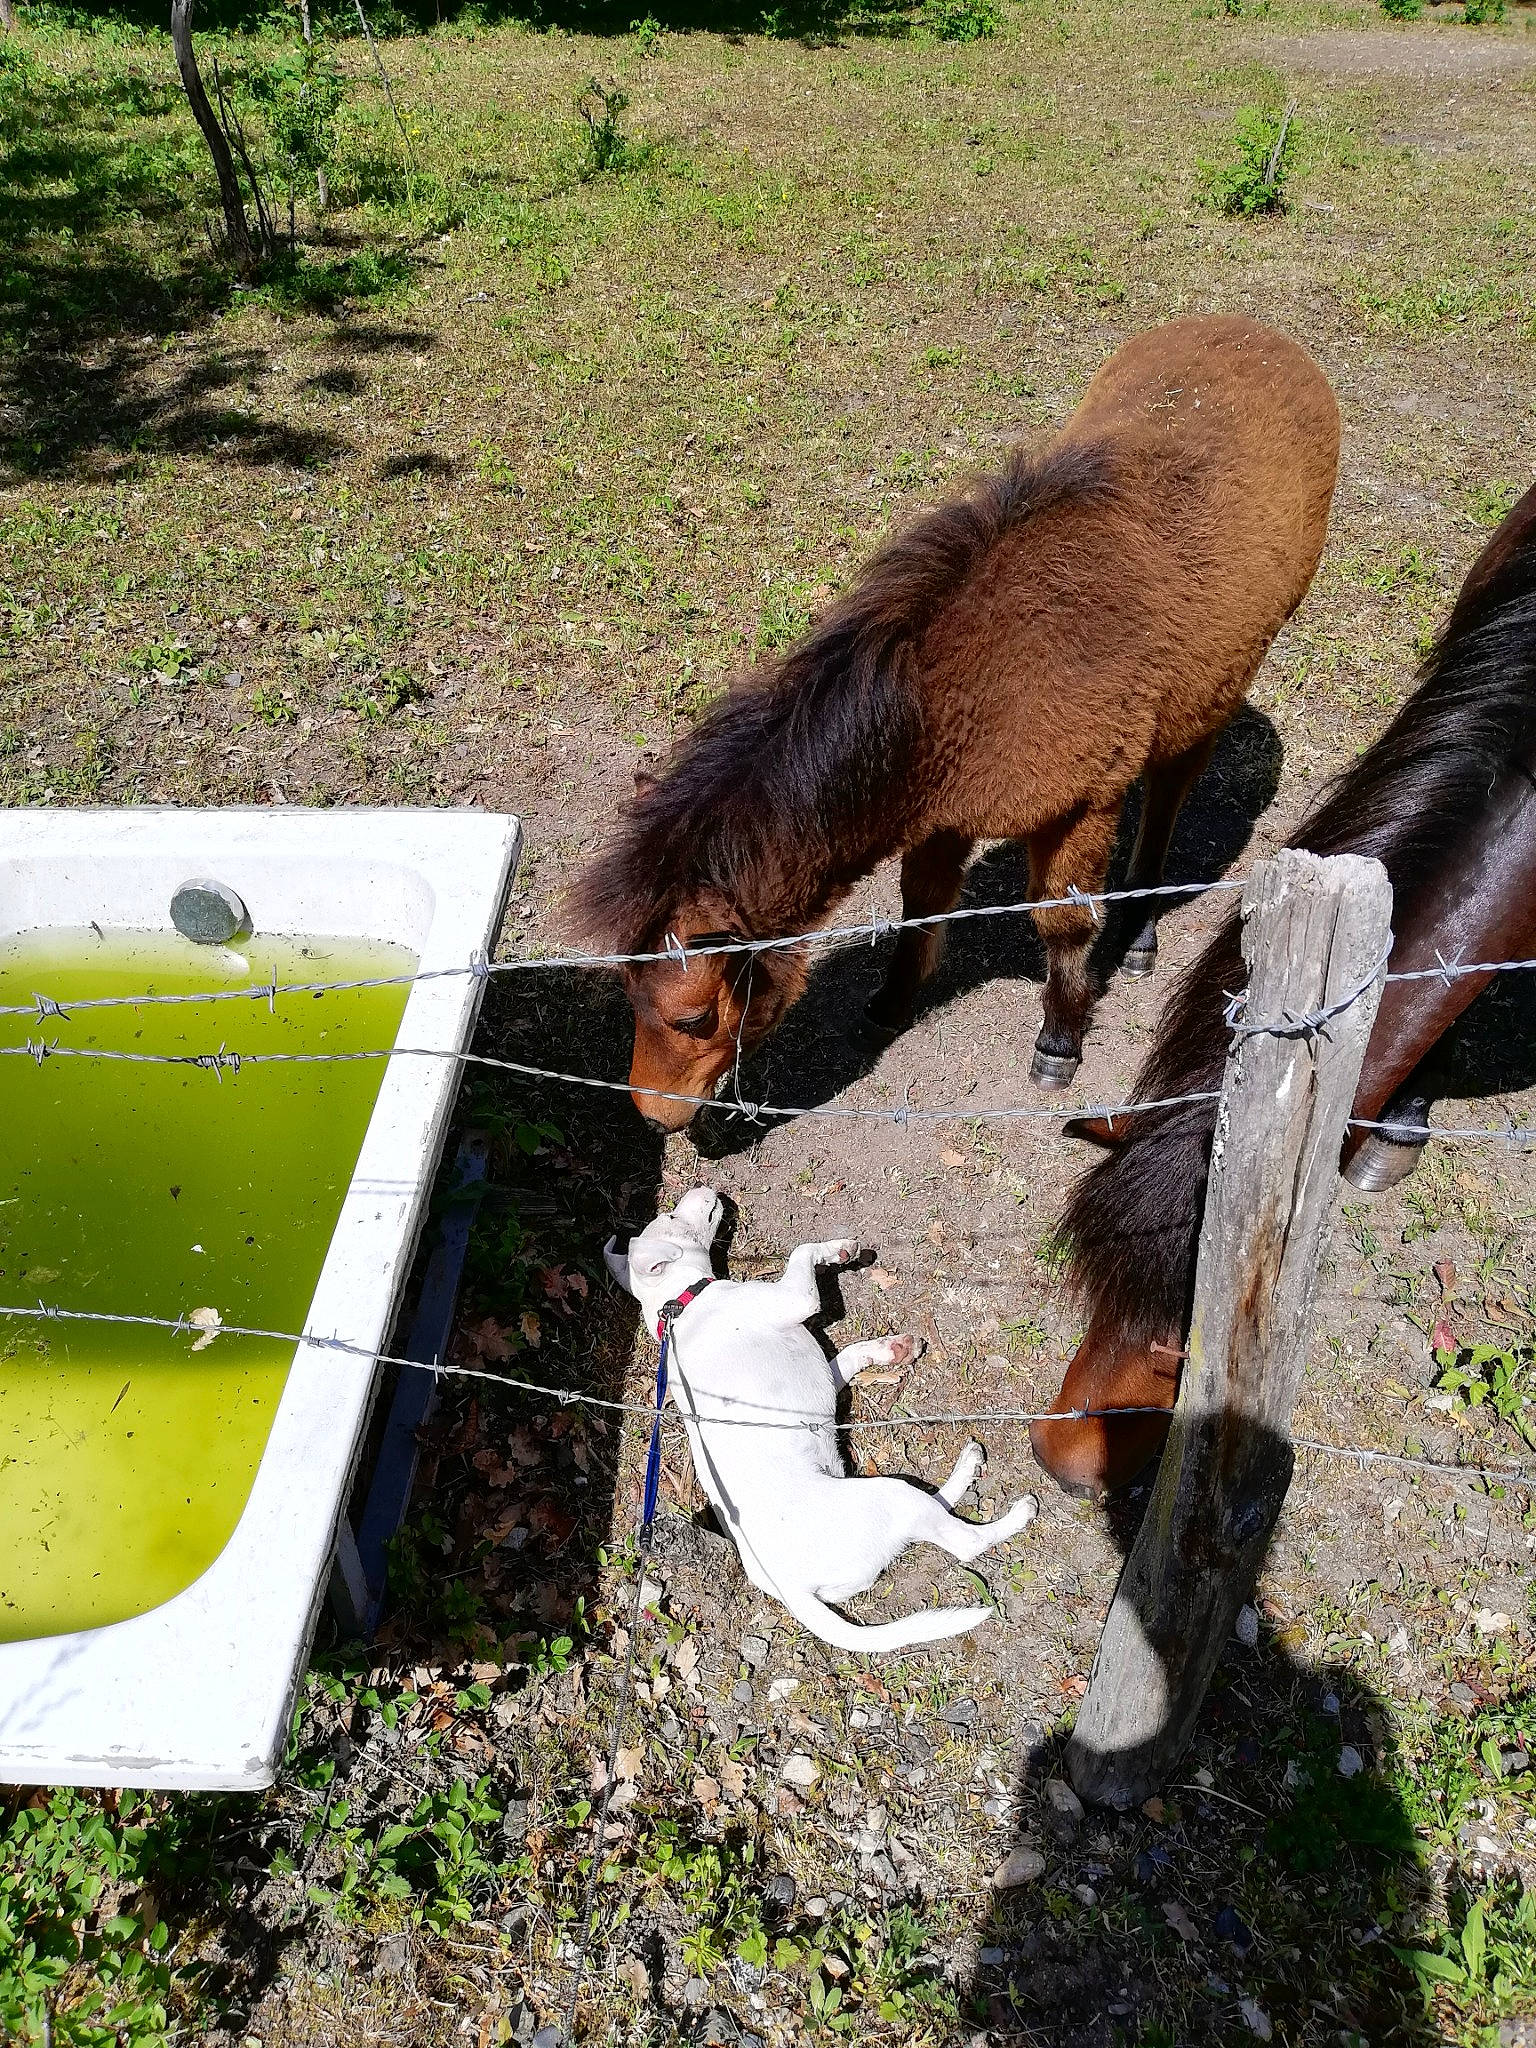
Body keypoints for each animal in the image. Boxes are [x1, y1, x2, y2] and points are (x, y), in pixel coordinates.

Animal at [570, 315, 1340, 1130]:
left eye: (690, 1018)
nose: (653, 1113)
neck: (968, 686)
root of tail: (1262, 338)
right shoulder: (944, 813)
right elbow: (923, 903)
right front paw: (890, 1003)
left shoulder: (1082, 806)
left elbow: (1064, 925)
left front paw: (1059, 1043)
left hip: (1214, 693)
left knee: (1167, 797)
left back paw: (1140, 932)